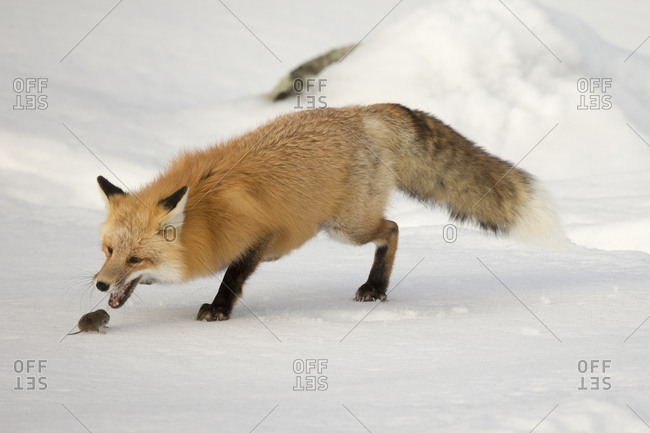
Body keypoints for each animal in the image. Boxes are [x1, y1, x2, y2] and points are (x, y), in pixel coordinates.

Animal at [94, 103, 564, 321]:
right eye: (109, 251)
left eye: (136, 259)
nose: (98, 285)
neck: (207, 214)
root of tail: (358, 112)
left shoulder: (259, 237)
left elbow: (233, 277)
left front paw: (219, 310)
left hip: (346, 227)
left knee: (393, 229)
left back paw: (375, 288)